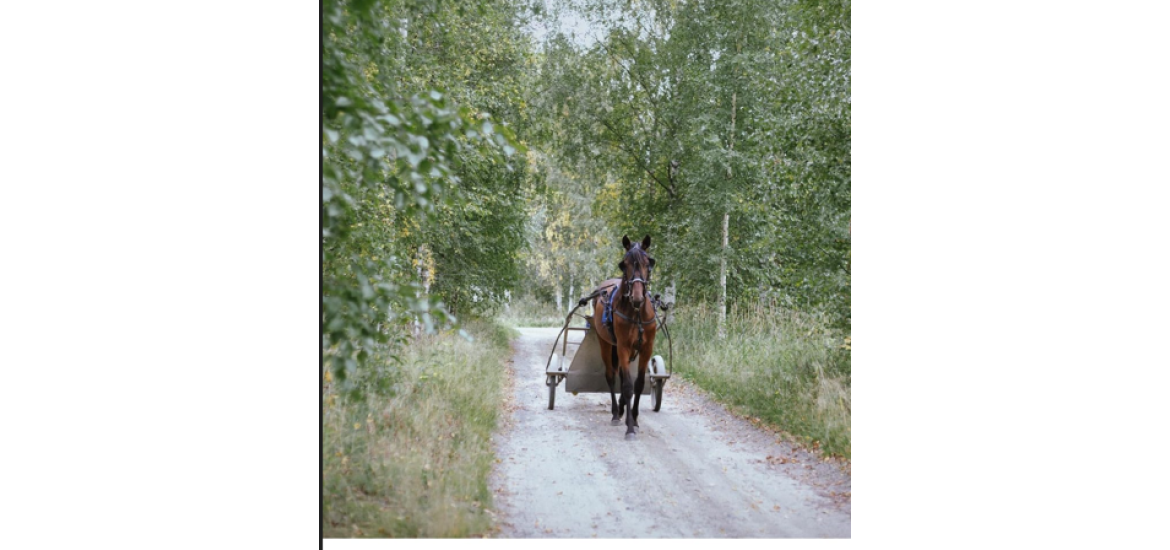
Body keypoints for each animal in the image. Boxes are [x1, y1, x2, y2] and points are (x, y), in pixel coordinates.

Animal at [585, 234, 659, 440]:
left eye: (648, 263)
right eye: (624, 264)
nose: (637, 297)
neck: (637, 312)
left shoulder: (646, 348)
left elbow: (639, 384)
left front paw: (634, 418)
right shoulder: (623, 347)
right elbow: (626, 386)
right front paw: (630, 427)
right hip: (605, 342)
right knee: (611, 376)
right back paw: (616, 413)